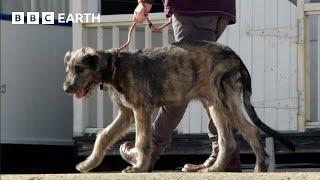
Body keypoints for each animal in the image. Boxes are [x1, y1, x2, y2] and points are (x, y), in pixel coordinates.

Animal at [63, 40, 296, 173]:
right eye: (69, 68)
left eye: (79, 68)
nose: (66, 88)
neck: (115, 66)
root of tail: (237, 58)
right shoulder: (126, 113)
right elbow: (103, 136)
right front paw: (88, 164)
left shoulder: (141, 109)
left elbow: (141, 141)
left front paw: (138, 167)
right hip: (213, 104)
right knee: (228, 140)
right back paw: (216, 168)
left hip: (224, 99)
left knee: (251, 131)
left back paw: (259, 166)